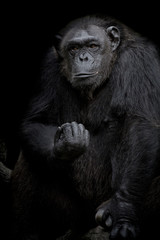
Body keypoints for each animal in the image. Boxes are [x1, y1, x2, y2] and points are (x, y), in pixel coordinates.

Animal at [10, 15, 160, 240]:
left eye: (92, 45)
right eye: (73, 48)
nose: (83, 58)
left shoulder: (140, 60)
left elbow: (140, 125)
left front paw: (123, 211)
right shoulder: (48, 65)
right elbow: (36, 120)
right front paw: (65, 146)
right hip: (72, 216)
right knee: (30, 162)